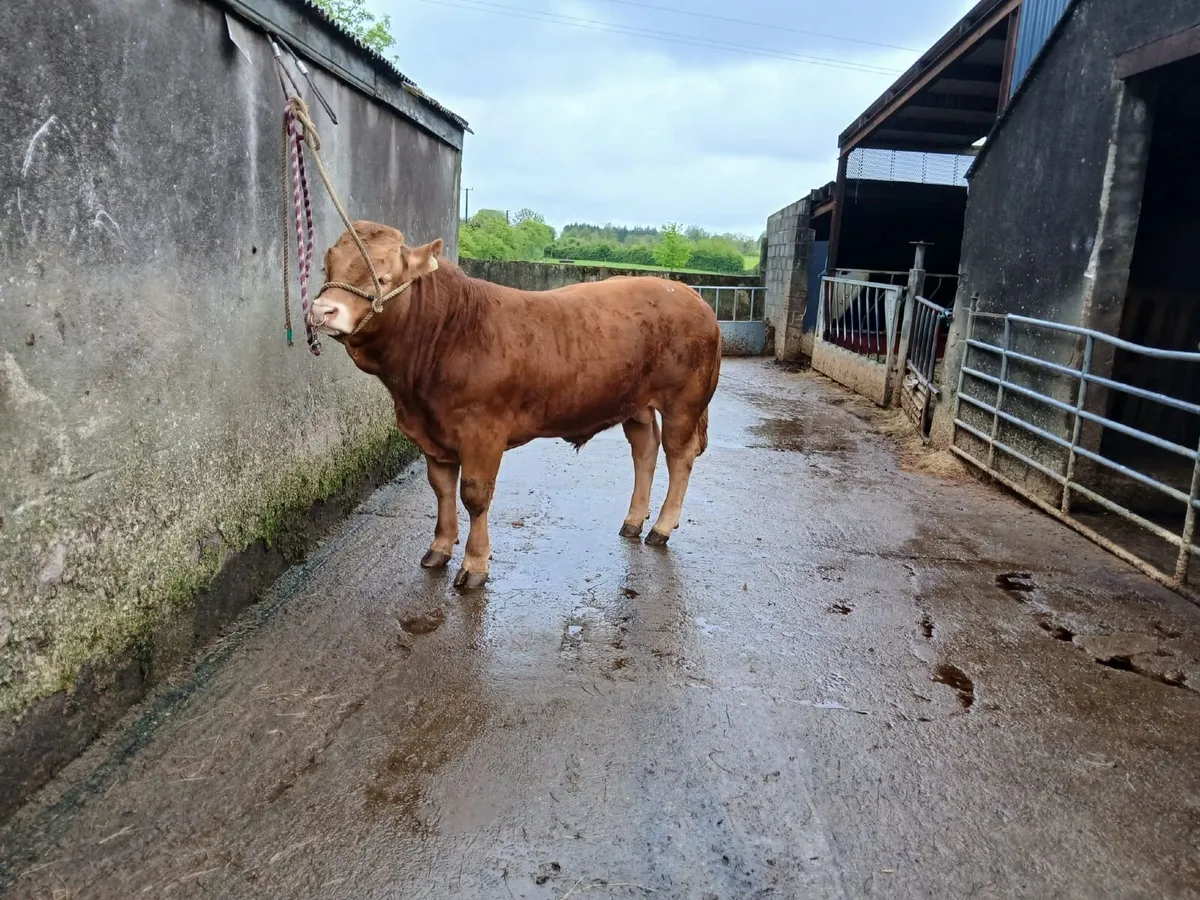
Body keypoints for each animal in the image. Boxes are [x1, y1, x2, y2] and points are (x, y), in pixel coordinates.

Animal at [309, 221, 722, 590]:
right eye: (328, 267)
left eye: (382, 275)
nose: (321, 311)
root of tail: (688, 291)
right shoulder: (432, 434)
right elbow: (442, 489)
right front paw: (439, 548)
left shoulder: (483, 433)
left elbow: (474, 496)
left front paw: (475, 564)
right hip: (635, 403)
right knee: (644, 450)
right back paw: (634, 521)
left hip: (684, 402)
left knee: (679, 455)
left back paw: (660, 527)